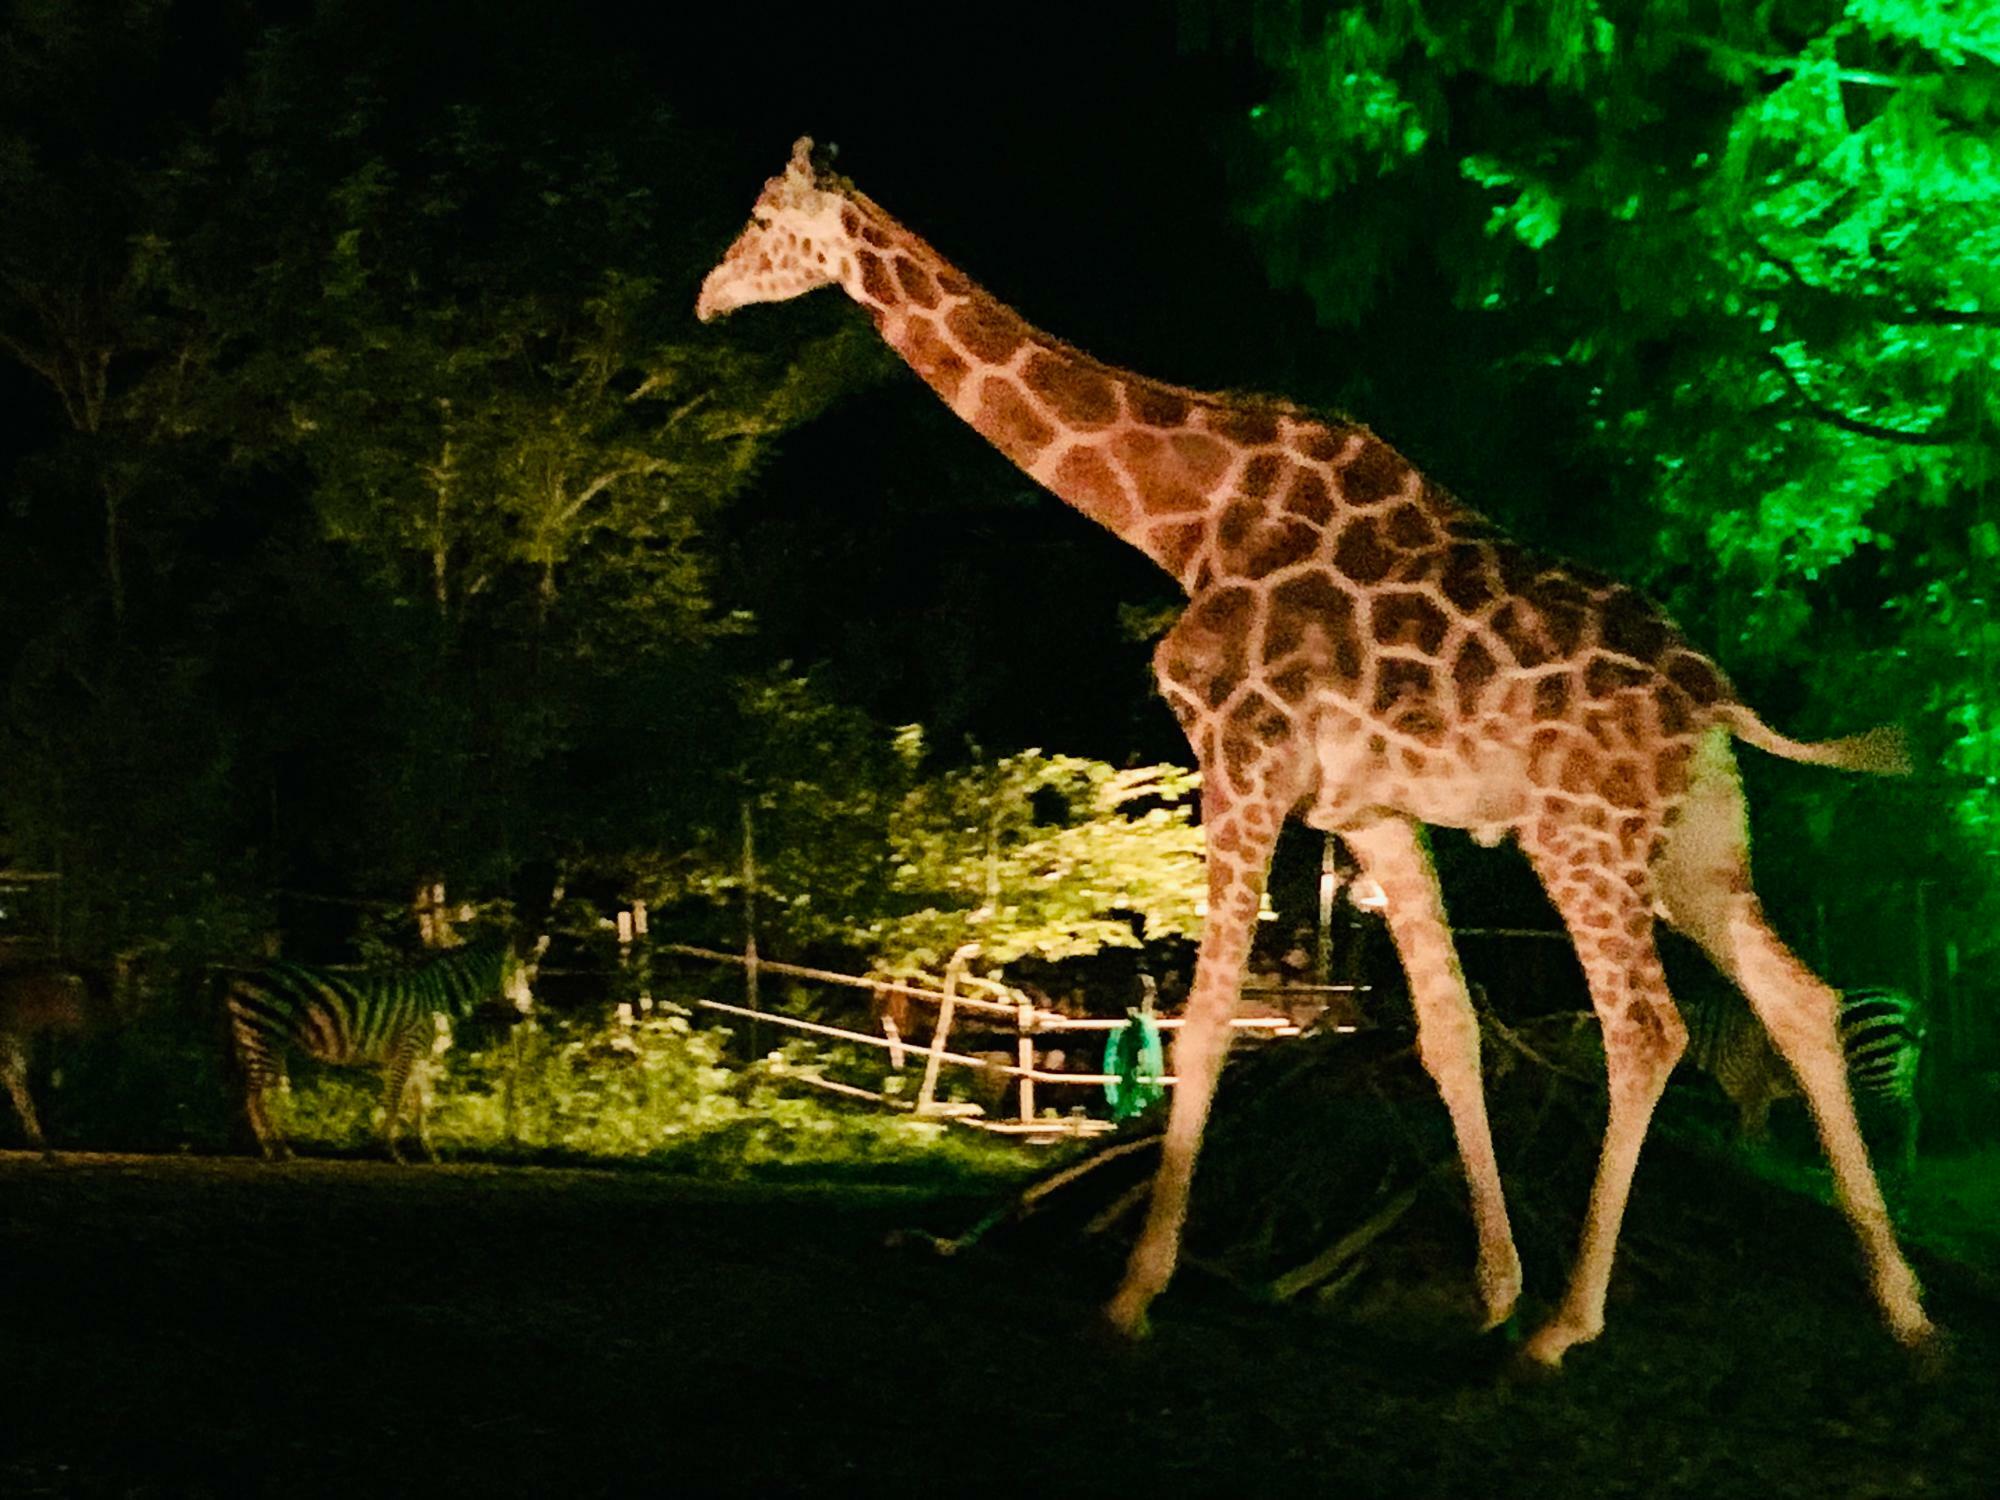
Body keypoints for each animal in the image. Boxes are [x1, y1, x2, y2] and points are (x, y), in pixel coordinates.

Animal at [221, 944, 532, 1168]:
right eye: (518, 980)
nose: (524, 1016)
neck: (437, 995)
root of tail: (241, 974)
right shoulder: (406, 1050)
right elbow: (393, 1101)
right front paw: (393, 1152)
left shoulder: (418, 1058)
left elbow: (420, 1106)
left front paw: (430, 1152)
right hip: (263, 1035)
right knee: (258, 1096)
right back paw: (273, 1150)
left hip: (265, 1041)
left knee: (260, 1094)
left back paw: (278, 1148)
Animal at [1688, 988, 1920, 1176]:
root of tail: (1907, 1008)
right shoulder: (1758, 1092)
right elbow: (1757, 1126)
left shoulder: (1753, 1086)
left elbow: (1748, 1128)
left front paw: (1746, 1158)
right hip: (1899, 1075)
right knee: (1912, 1111)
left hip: (1877, 1070)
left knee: (1903, 1115)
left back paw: (1901, 1166)